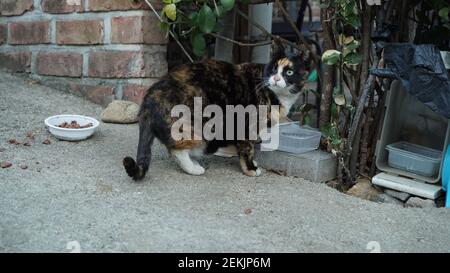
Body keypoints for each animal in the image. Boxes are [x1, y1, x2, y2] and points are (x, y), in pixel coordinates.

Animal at [124, 41, 310, 180]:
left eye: (289, 72)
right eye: (273, 69)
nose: (276, 78)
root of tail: (149, 97)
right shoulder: (245, 125)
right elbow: (248, 149)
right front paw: (250, 169)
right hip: (192, 126)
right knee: (177, 149)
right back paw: (194, 168)